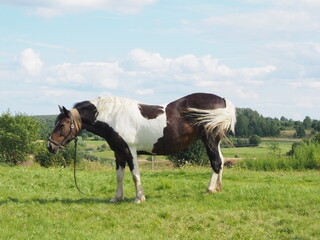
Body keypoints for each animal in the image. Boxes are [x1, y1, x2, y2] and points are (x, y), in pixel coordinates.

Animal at [48, 93, 238, 203]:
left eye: (62, 124)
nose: (50, 146)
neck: (113, 116)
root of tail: (223, 101)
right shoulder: (118, 153)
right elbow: (119, 176)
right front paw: (117, 197)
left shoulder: (129, 151)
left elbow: (135, 175)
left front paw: (139, 198)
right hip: (215, 142)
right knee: (221, 161)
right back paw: (218, 188)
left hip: (210, 140)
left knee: (215, 162)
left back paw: (210, 189)